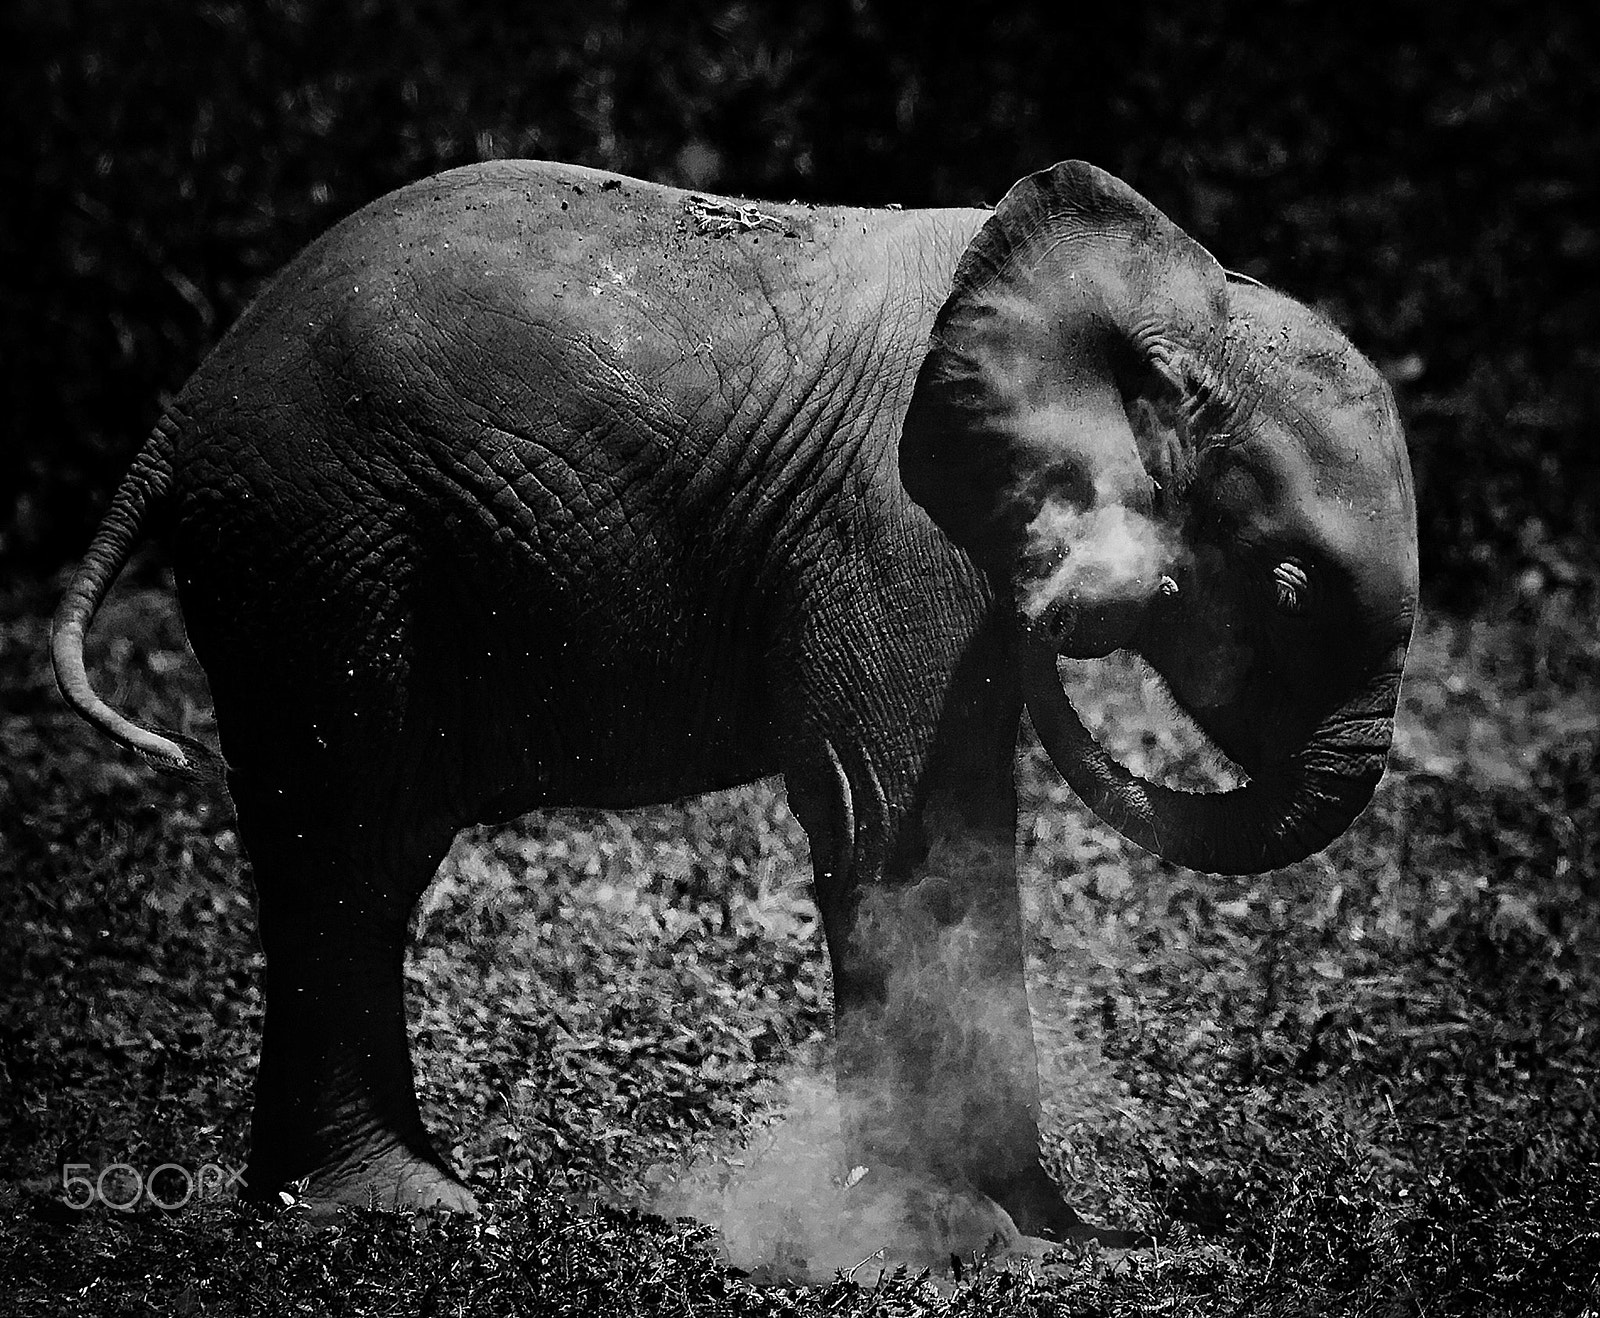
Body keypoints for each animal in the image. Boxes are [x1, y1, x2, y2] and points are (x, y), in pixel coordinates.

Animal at [56, 159, 1420, 1241]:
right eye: (1292, 586)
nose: (1083, 607)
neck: (1157, 294)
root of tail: (177, 418)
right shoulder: (889, 528)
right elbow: (898, 832)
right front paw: (945, 1239)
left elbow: (958, 821)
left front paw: (1041, 1230)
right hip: (323, 554)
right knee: (345, 844)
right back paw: (395, 1204)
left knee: (361, 854)